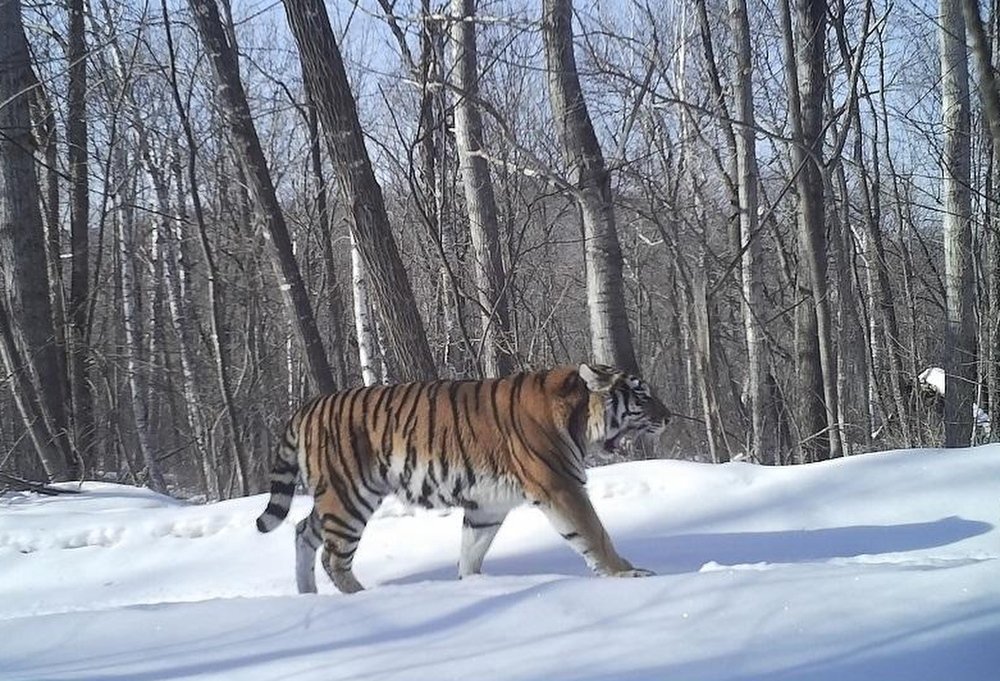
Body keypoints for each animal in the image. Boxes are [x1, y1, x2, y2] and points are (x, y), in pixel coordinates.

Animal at [254, 364, 668, 592]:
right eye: (642, 396)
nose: (668, 417)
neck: (580, 418)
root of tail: (307, 406)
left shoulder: (488, 505)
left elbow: (471, 551)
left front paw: (472, 586)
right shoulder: (561, 486)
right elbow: (595, 534)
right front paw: (629, 573)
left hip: (336, 496)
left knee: (303, 531)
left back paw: (307, 595)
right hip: (348, 497)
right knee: (333, 558)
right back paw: (365, 596)